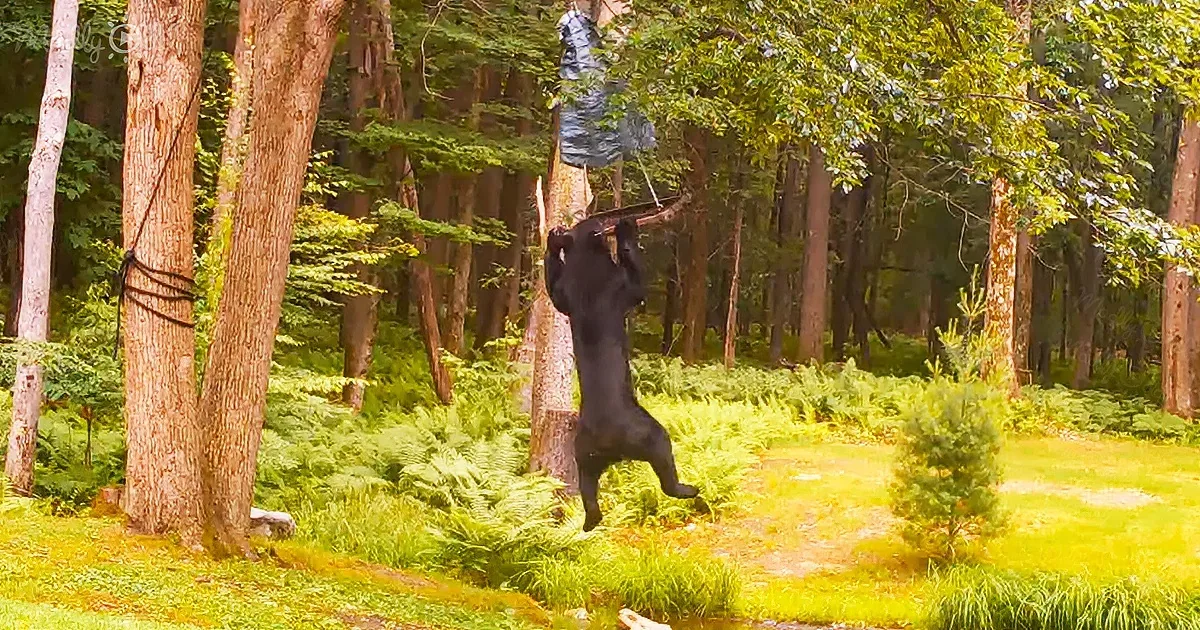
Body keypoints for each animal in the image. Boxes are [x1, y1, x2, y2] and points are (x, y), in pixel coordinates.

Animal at [544, 216, 699, 532]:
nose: (610, 221)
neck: (588, 260)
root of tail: (610, 445)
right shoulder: (625, 288)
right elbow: (635, 275)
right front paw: (626, 229)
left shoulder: (564, 296)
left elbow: (554, 288)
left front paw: (554, 239)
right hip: (651, 435)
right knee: (666, 471)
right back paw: (688, 489)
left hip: (583, 455)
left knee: (588, 492)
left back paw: (591, 521)